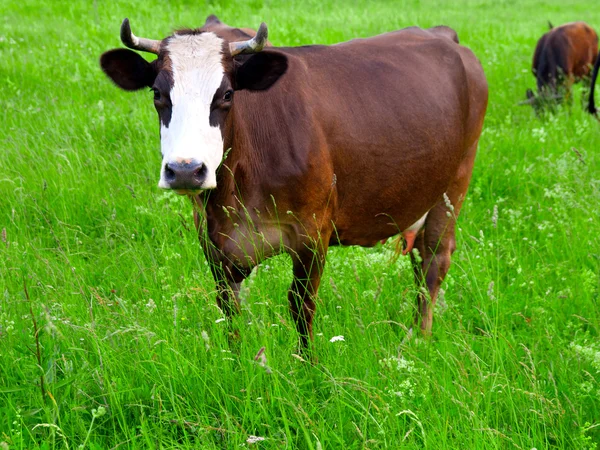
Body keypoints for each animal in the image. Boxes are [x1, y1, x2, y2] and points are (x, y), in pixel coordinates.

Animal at [101, 15, 490, 348]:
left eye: (226, 94)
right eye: (157, 93)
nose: (185, 169)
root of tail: (442, 33)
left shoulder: (314, 232)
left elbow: (300, 306)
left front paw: (308, 366)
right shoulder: (211, 238)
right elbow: (229, 310)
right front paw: (237, 361)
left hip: (453, 185)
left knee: (433, 261)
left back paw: (417, 339)